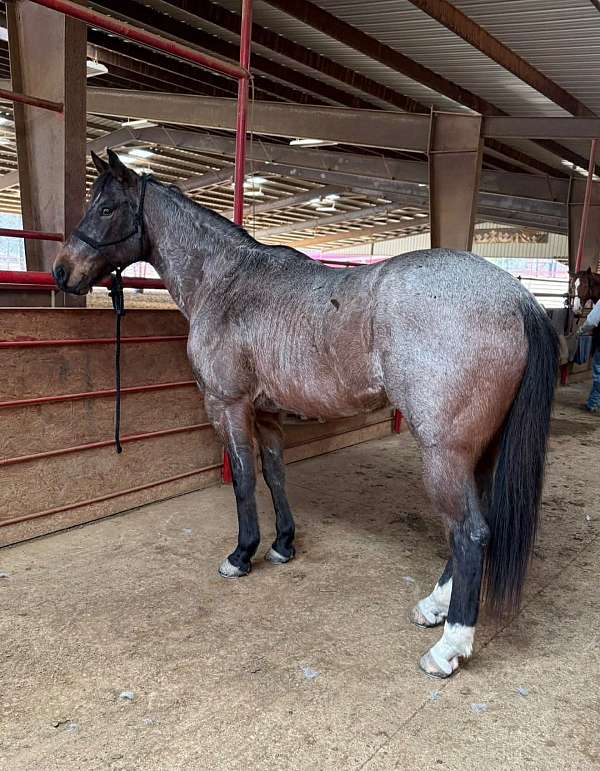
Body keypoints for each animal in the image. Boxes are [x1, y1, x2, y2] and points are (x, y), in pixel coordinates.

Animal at [53, 150, 559, 678]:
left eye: (106, 207)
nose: (62, 271)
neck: (226, 282)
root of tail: (517, 297)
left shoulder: (228, 405)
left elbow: (244, 480)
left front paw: (242, 554)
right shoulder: (267, 413)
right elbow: (275, 475)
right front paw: (283, 544)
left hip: (445, 454)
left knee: (470, 534)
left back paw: (448, 648)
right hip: (477, 453)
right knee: (473, 530)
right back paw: (433, 607)